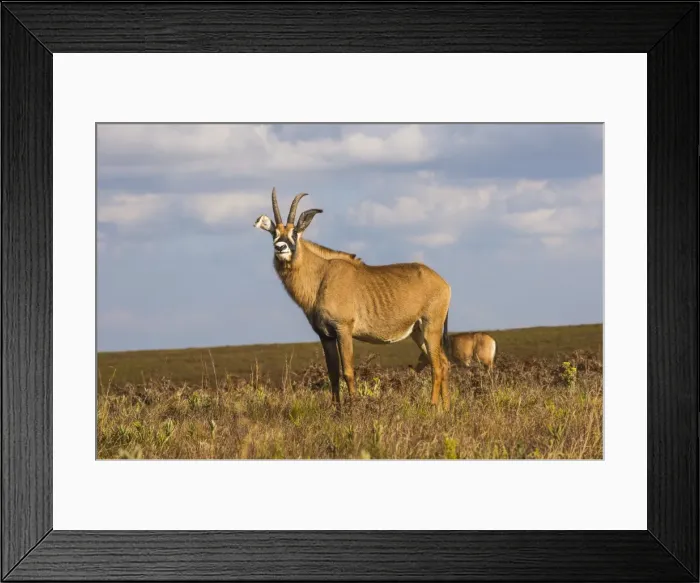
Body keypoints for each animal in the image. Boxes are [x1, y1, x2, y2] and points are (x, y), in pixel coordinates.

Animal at [254, 188, 452, 410]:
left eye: (294, 232)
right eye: (274, 233)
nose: (280, 248)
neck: (321, 275)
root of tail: (443, 283)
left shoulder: (343, 330)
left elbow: (348, 371)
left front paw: (354, 408)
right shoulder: (326, 336)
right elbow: (332, 374)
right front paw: (336, 410)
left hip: (430, 327)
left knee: (436, 365)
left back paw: (433, 406)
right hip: (418, 332)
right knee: (444, 363)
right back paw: (446, 409)